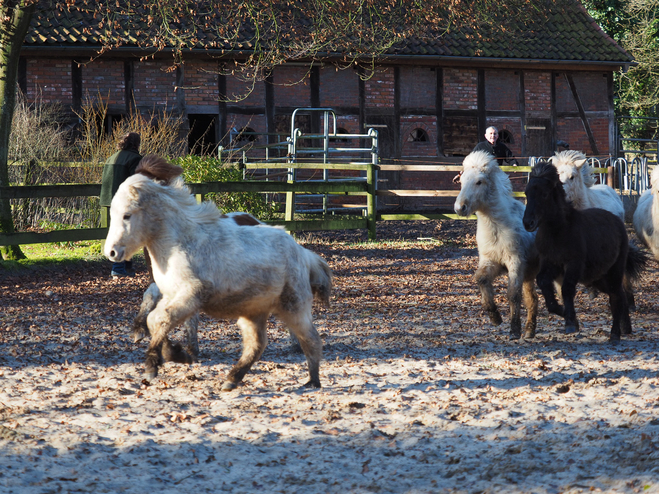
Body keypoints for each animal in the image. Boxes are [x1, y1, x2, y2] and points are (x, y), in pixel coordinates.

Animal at [106, 174, 332, 390]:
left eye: (127, 215)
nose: (111, 252)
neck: (181, 243)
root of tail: (303, 253)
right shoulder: (170, 295)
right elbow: (154, 319)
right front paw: (176, 354)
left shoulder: (191, 295)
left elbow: (162, 318)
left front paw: (154, 364)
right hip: (253, 312)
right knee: (256, 344)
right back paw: (232, 379)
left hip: (293, 307)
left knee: (311, 339)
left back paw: (313, 381)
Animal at [456, 151, 540, 340]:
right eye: (462, 181)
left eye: (479, 181)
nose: (460, 207)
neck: (497, 228)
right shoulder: (492, 262)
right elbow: (480, 279)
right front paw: (495, 317)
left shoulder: (515, 262)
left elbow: (513, 295)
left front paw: (514, 330)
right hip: (530, 274)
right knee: (532, 299)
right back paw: (529, 331)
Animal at [524, 160, 648, 342]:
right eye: (526, 193)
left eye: (544, 194)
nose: (528, 223)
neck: (559, 231)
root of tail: (618, 221)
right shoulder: (551, 262)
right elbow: (543, 282)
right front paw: (562, 312)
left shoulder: (574, 264)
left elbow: (567, 288)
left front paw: (570, 322)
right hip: (598, 278)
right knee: (618, 295)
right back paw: (625, 328)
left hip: (614, 272)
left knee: (616, 297)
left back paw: (615, 334)